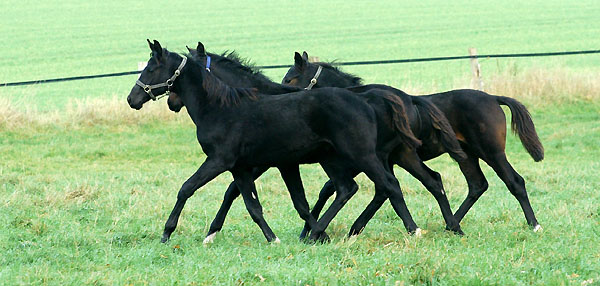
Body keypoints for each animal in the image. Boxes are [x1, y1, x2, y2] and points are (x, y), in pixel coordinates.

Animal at [185, 42, 466, 240]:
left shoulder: (264, 161)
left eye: (290, 78)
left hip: (378, 157)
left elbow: (233, 190)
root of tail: (408, 100)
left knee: (387, 187)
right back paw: (452, 226)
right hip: (398, 156)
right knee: (426, 181)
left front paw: (212, 231)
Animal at [284, 52, 548, 233]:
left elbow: (340, 187)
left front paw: (312, 229)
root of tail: (493, 98)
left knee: (514, 182)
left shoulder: (367, 158)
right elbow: (349, 188)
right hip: (466, 155)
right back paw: (451, 224)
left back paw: (534, 225)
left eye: (290, 79)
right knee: (477, 185)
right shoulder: (377, 160)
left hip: (491, 152)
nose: (283, 94)